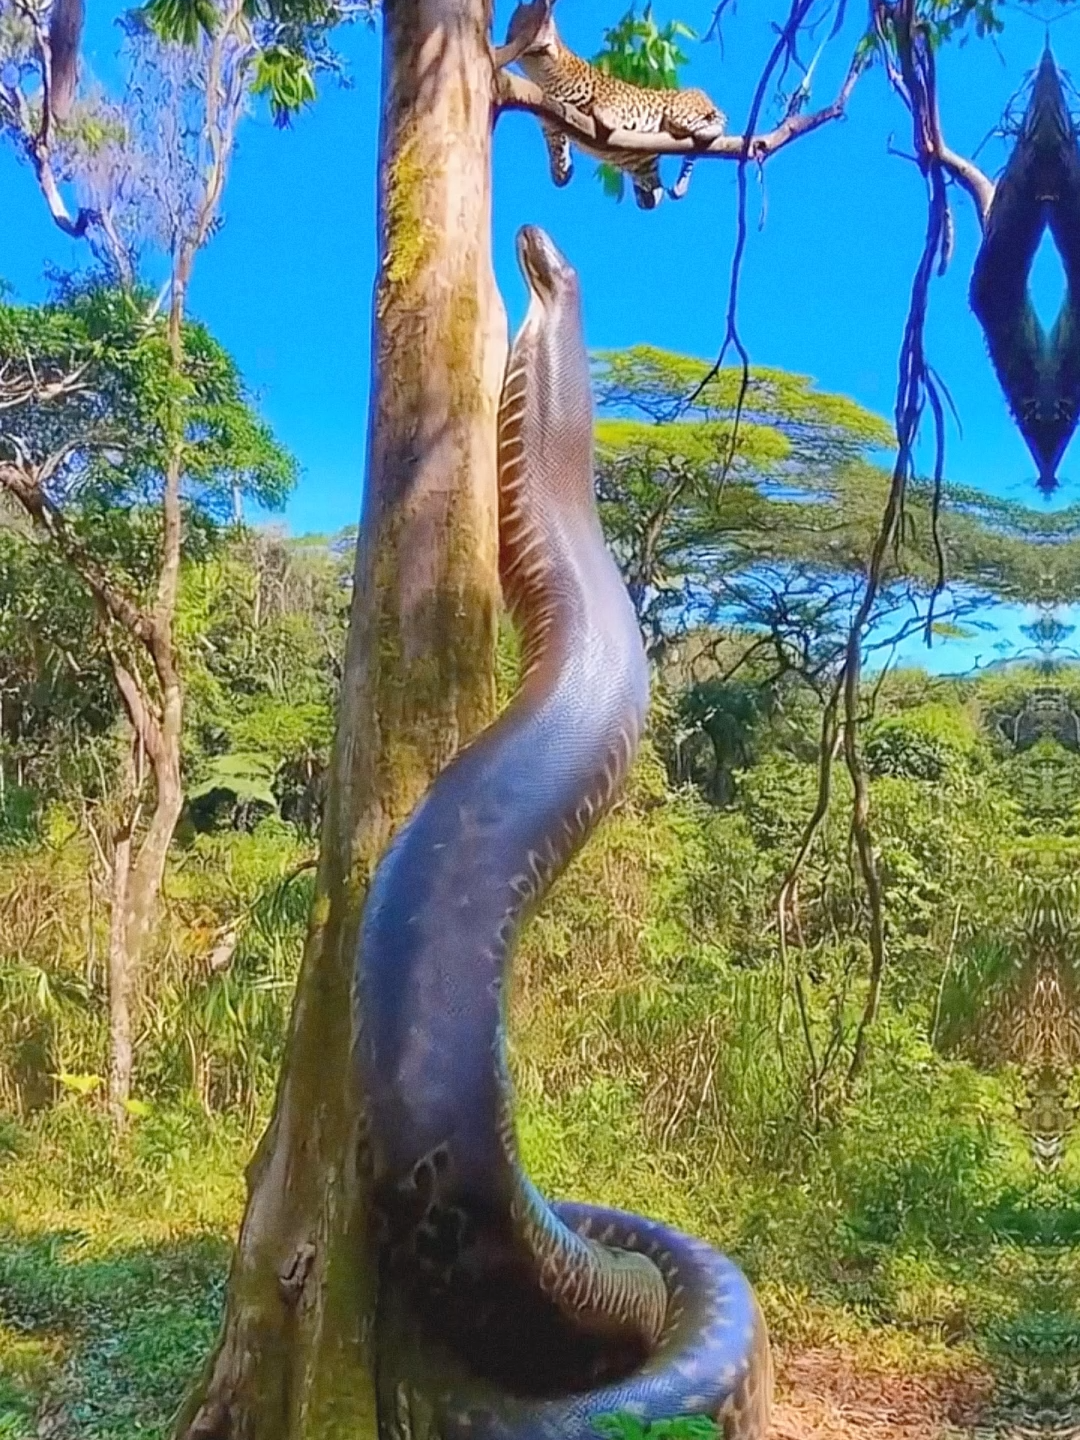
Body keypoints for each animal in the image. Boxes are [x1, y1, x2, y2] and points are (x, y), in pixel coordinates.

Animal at [504, 2, 726, 210]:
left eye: (521, 24)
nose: (508, 42)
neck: (543, 78)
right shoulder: (551, 123)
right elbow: (556, 147)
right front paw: (560, 171)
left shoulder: (608, 92)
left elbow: (609, 103)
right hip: (646, 173)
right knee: (654, 195)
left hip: (683, 109)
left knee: (714, 123)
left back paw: (708, 131)